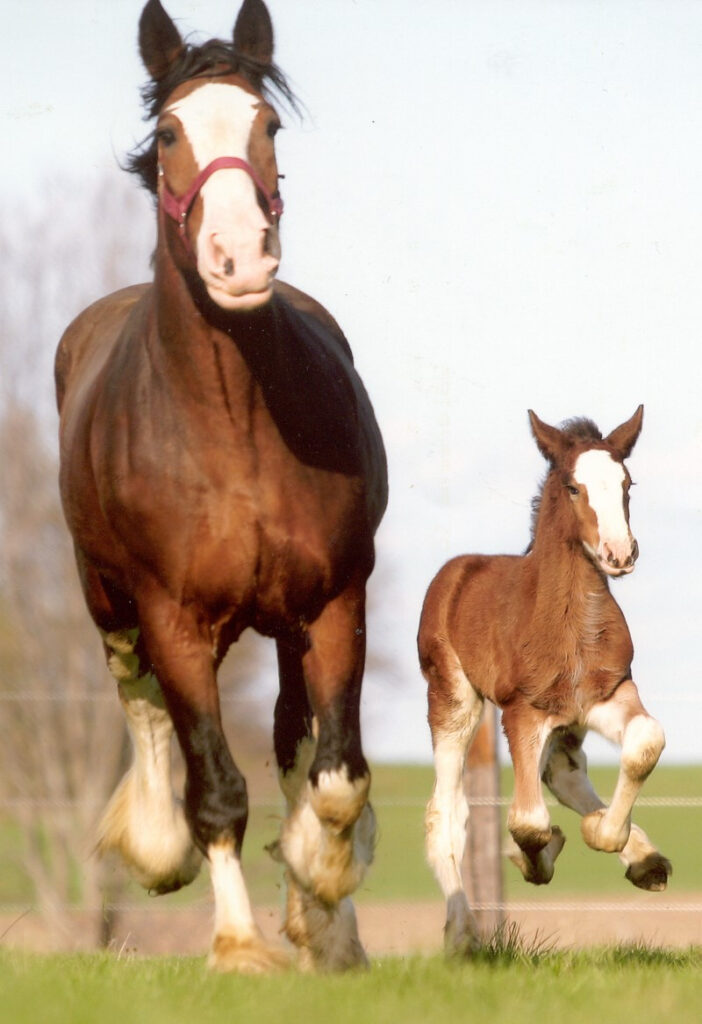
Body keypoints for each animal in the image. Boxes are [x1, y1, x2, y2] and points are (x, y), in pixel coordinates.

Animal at [55, 0, 386, 970]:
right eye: (169, 132)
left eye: (265, 124)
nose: (239, 257)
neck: (233, 424)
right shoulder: (173, 619)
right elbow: (214, 788)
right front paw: (237, 944)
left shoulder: (336, 600)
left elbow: (335, 777)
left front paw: (320, 892)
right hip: (111, 603)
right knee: (141, 707)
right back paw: (158, 846)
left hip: (282, 622)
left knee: (293, 740)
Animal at [421, 409, 675, 958]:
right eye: (574, 487)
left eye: (627, 483)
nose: (619, 553)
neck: (571, 624)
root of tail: (454, 572)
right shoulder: (523, 712)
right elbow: (527, 822)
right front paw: (535, 855)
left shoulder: (607, 695)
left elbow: (646, 742)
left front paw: (607, 834)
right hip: (452, 701)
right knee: (446, 811)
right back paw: (463, 934)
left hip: (565, 723)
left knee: (563, 772)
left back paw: (642, 858)